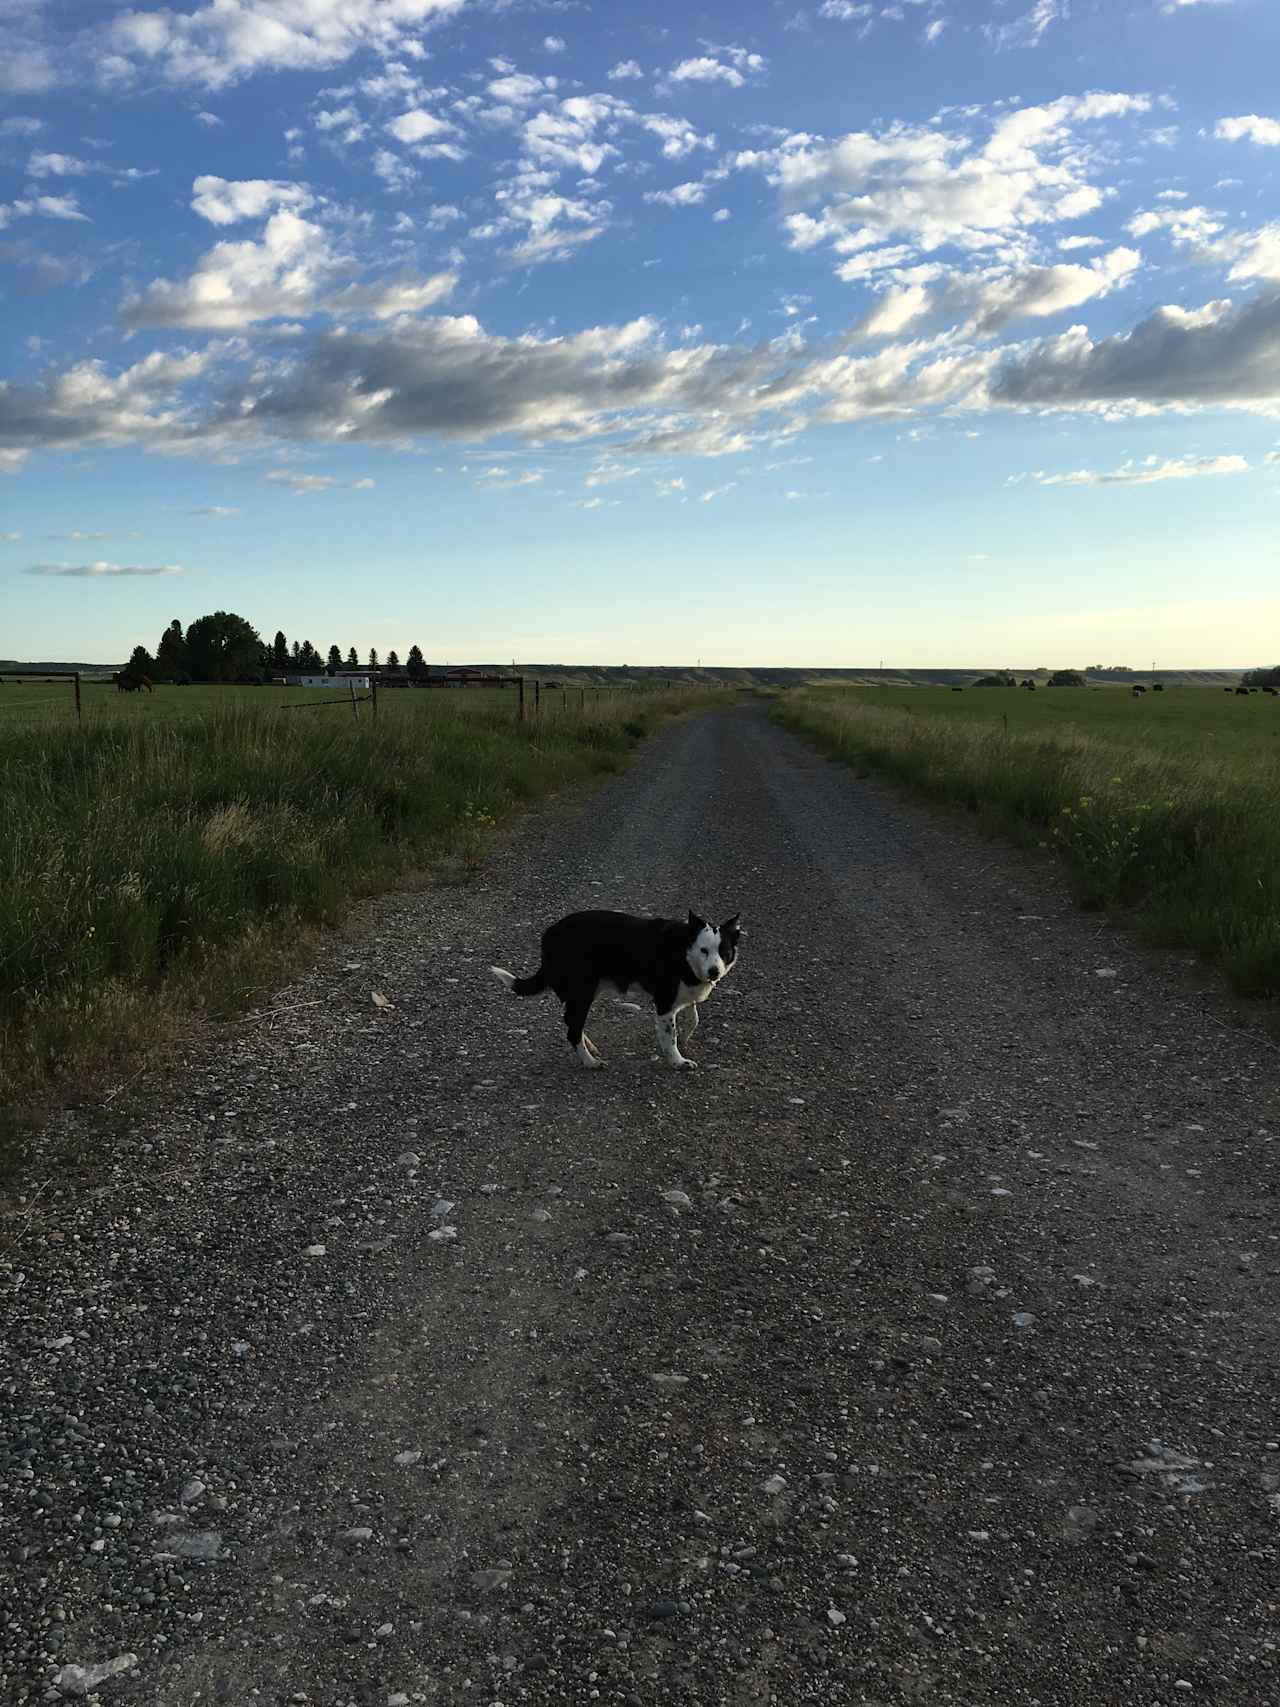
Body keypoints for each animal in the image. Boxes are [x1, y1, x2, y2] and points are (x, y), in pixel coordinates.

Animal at [494, 908, 747, 1065]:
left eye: (724, 952)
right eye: (704, 950)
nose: (714, 972)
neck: (683, 951)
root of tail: (549, 936)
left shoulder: (683, 994)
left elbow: (693, 1017)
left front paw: (686, 1037)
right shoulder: (664, 1003)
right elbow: (670, 1036)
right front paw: (677, 1060)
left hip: (587, 991)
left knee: (570, 1021)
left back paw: (590, 1048)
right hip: (583, 991)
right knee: (572, 1029)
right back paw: (590, 1062)